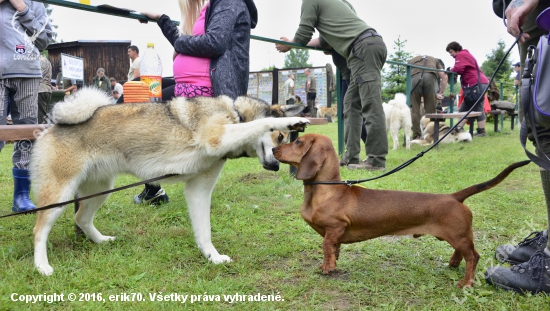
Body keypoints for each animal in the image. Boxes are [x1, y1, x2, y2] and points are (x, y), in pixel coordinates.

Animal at [31, 87, 310, 276]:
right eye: (281, 137)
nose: (276, 167)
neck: (236, 114)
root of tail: (52, 126)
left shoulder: (199, 190)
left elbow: (204, 232)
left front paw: (212, 257)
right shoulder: (218, 136)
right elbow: (263, 120)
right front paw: (290, 120)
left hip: (100, 189)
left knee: (82, 218)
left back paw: (100, 241)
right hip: (59, 195)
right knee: (39, 230)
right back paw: (42, 266)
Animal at [276, 133, 536, 288]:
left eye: (298, 142)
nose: (274, 150)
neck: (326, 190)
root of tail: (454, 196)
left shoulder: (334, 228)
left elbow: (327, 248)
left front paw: (327, 268)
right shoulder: (335, 234)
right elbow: (335, 249)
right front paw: (332, 263)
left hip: (460, 236)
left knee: (474, 256)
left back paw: (466, 282)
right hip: (457, 236)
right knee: (463, 253)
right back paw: (453, 265)